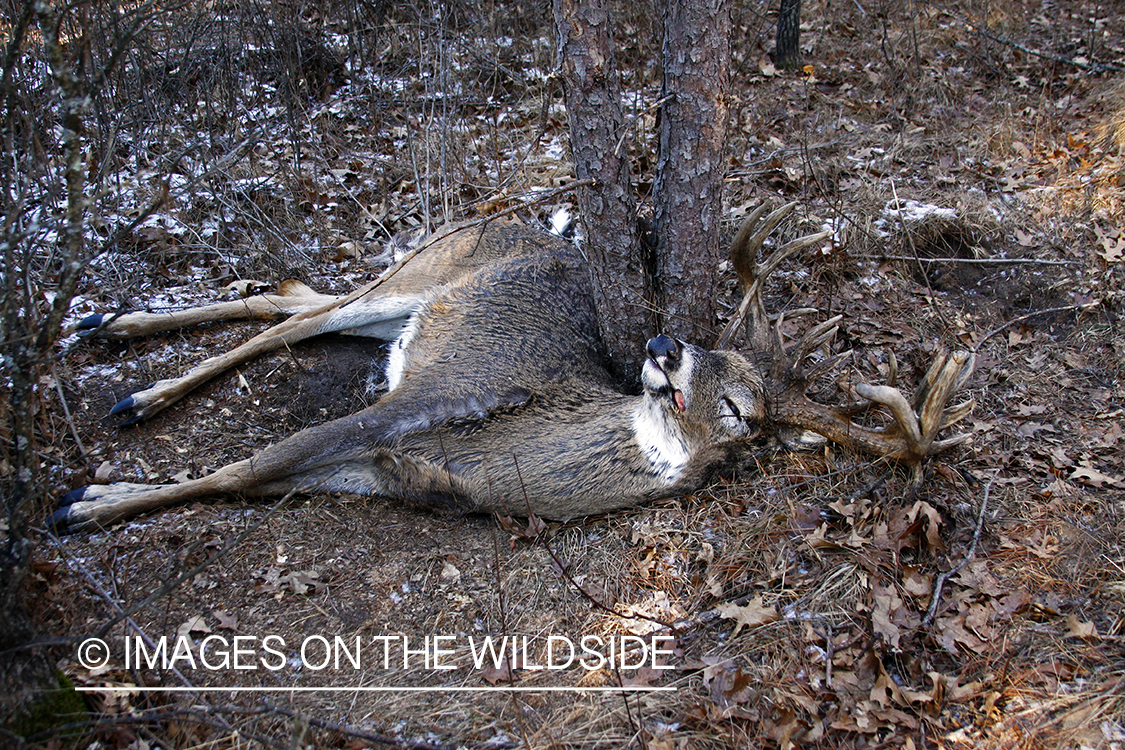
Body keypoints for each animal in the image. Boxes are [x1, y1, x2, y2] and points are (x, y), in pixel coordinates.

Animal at [48, 205, 972, 532]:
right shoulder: (414, 401)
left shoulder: (379, 471)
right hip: (422, 268)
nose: (662, 346)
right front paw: (87, 503)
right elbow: (249, 463)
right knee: (303, 311)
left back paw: (116, 345)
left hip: (402, 307)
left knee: (292, 305)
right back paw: (124, 367)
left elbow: (248, 478)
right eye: (706, 341)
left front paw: (93, 499)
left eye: (744, 411)